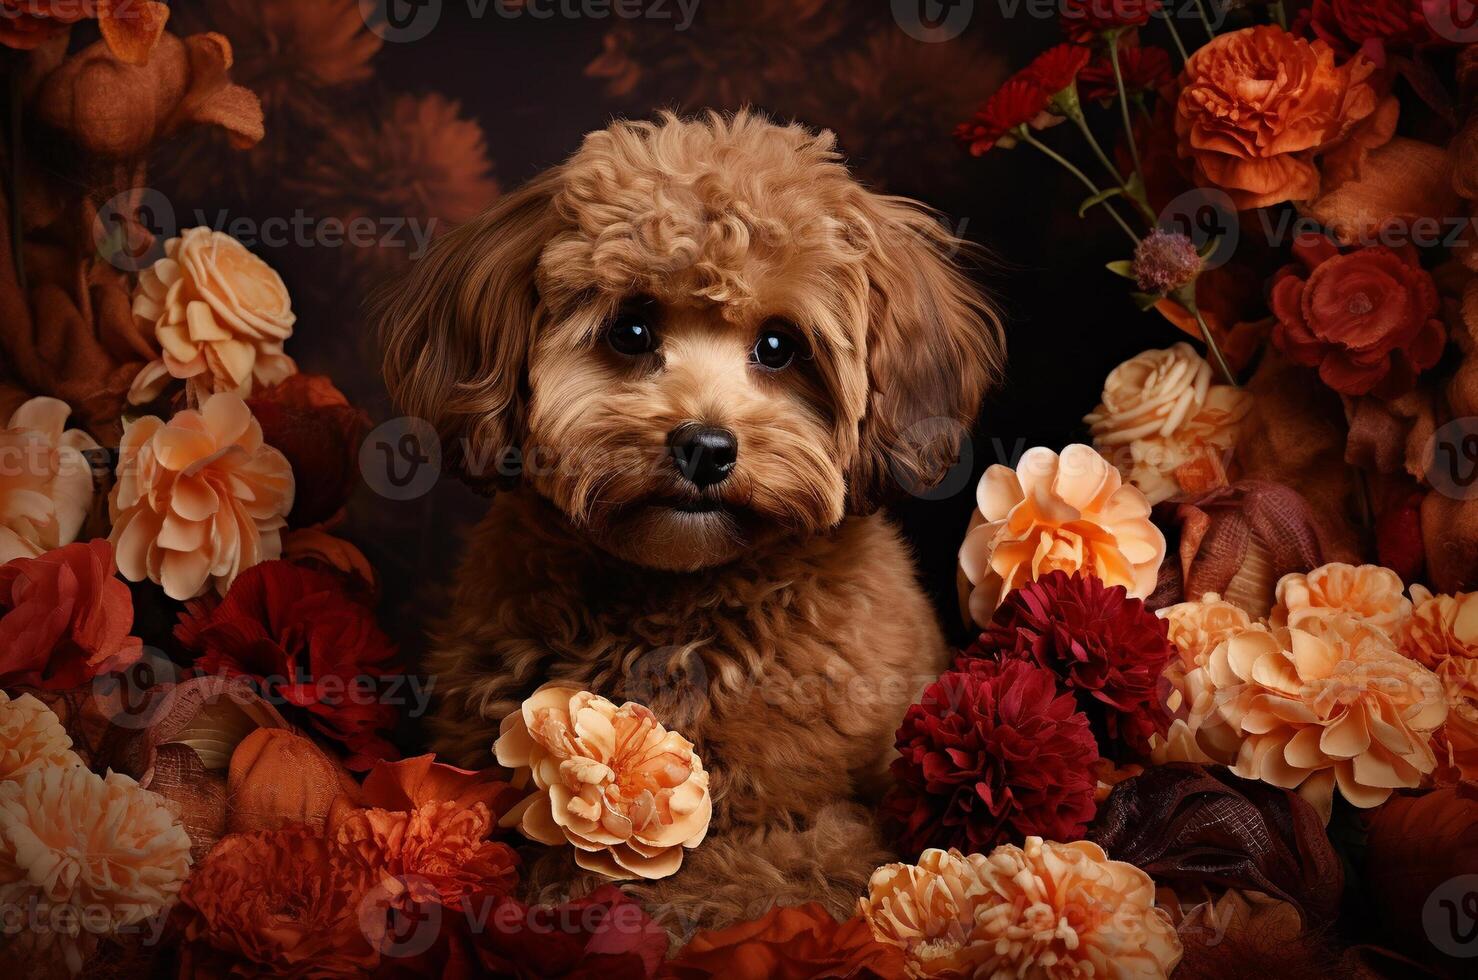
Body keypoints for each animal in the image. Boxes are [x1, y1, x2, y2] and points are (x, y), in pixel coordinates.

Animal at [381, 107, 1005, 934]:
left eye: (779, 346)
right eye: (630, 331)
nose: (704, 447)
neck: (678, 597)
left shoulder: (817, 829)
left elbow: (746, 871)